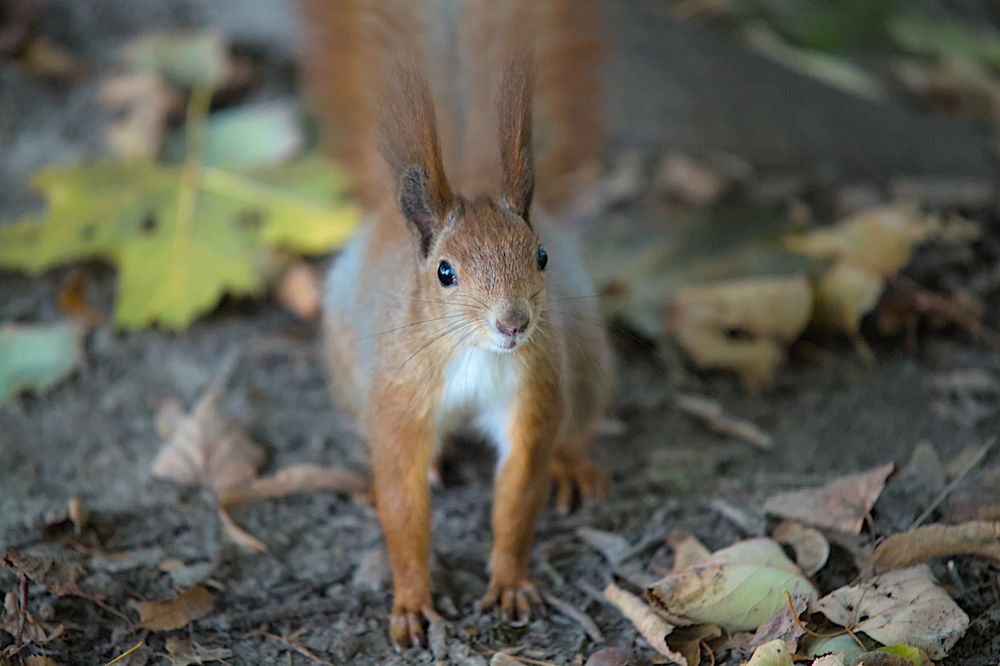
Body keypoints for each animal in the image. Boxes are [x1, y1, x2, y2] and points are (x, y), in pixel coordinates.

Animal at [299, 0, 613, 649]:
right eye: (445, 272)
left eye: (541, 256)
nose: (513, 324)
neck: (474, 354)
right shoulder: (401, 398)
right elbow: (401, 501)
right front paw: (412, 601)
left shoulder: (534, 394)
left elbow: (518, 496)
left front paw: (511, 583)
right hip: (349, 374)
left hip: (588, 365)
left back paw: (573, 464)